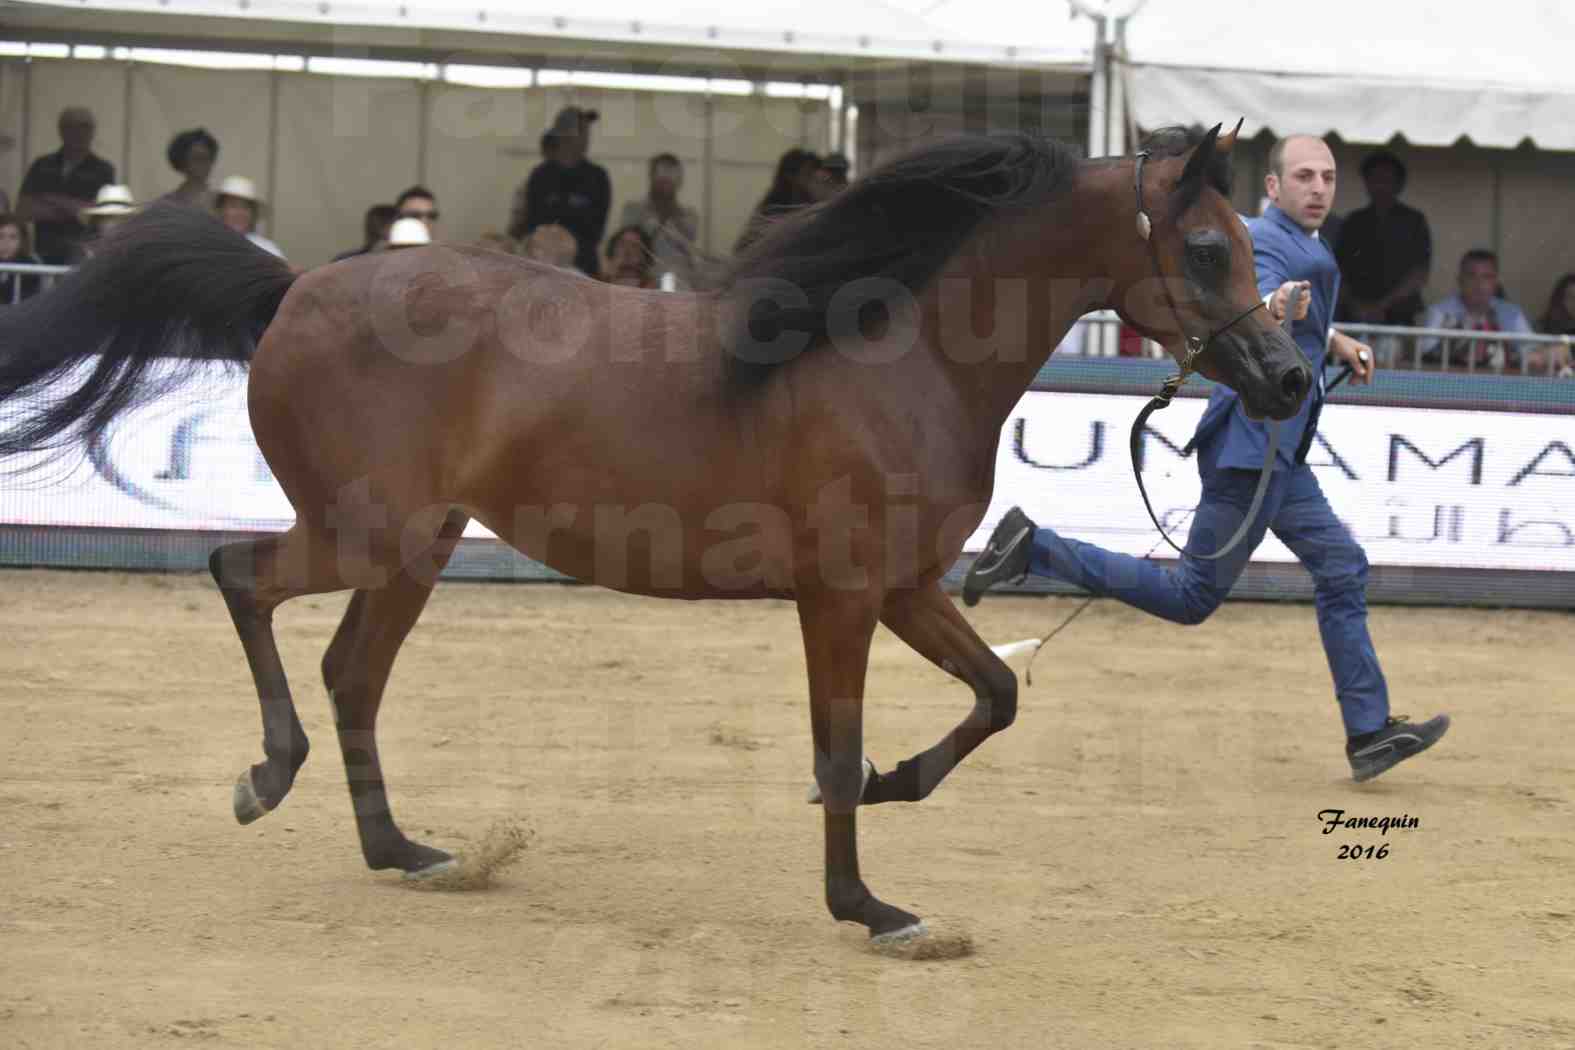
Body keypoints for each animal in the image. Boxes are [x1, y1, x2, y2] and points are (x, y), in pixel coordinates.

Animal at [0, 123, 1304, 944]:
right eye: (1204, 247)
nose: (1291, 378)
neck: (898, 353)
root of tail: (298, 290)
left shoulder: (906, 588)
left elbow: (998, 695)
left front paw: (897, 790)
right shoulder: (840, 598)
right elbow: (837, 750)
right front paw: (872, 911)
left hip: (417, 548)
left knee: (351, 671)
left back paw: (406, 852)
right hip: (366, 533)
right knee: (240, 577)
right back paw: (266, 778)